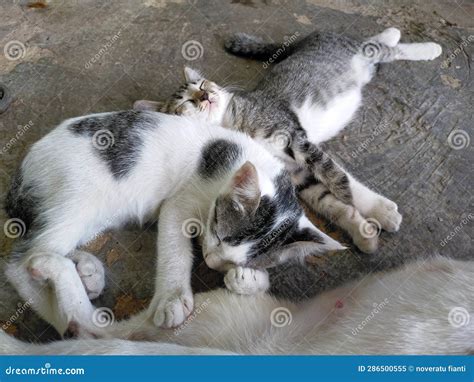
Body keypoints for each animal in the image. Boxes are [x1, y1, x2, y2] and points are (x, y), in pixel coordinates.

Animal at [3, 109, 346, 332]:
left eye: (234, 260)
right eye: (218, 234)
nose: (211, 261)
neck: (240, 160)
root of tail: (24, 168)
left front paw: (249, 279)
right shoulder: (179, 203)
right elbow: (174, 249)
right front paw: (171, 299)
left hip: (97, 211)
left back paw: (87, 271)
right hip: (78, 196)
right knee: (22, 260)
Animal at [135, 26, 442, 254]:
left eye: (201, 85)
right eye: (186, 101)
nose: (205, 96)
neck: (232, 123)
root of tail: (305, 39)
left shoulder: (295, 137)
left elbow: (336, 174)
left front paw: (374, 207)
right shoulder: (297, 175)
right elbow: (329, 201)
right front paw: (363, 229)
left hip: (360, 52)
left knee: (383, 48)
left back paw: (421, 45)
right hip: (367, 68)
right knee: (377, 53)